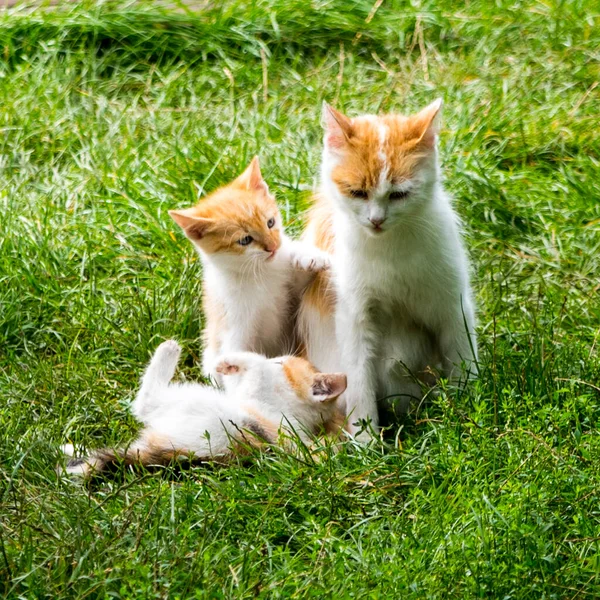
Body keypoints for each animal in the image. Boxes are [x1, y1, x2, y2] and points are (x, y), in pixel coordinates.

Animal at [62, 340, 346, 476]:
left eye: (279, 365)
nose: (278, 357)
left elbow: (254, 363)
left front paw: (228, 361)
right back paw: (68, 448)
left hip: (186, 404)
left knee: (146, 400)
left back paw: (169, 348)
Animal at [168, 157, 328, 384]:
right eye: (245, 240)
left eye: (270, 222)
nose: (273, 246)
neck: (261, 273)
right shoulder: (234, 324)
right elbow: (237, 357)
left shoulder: (291, 290)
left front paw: (308, 255)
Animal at [298, 99, 478, 440]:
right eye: (357, 192)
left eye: (399, 194)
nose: (376, 220)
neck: (389, 249)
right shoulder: (354, 317)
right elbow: (359, 379)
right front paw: (366, 439)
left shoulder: (451, 304)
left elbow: (462, 353)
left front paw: (471, 409)